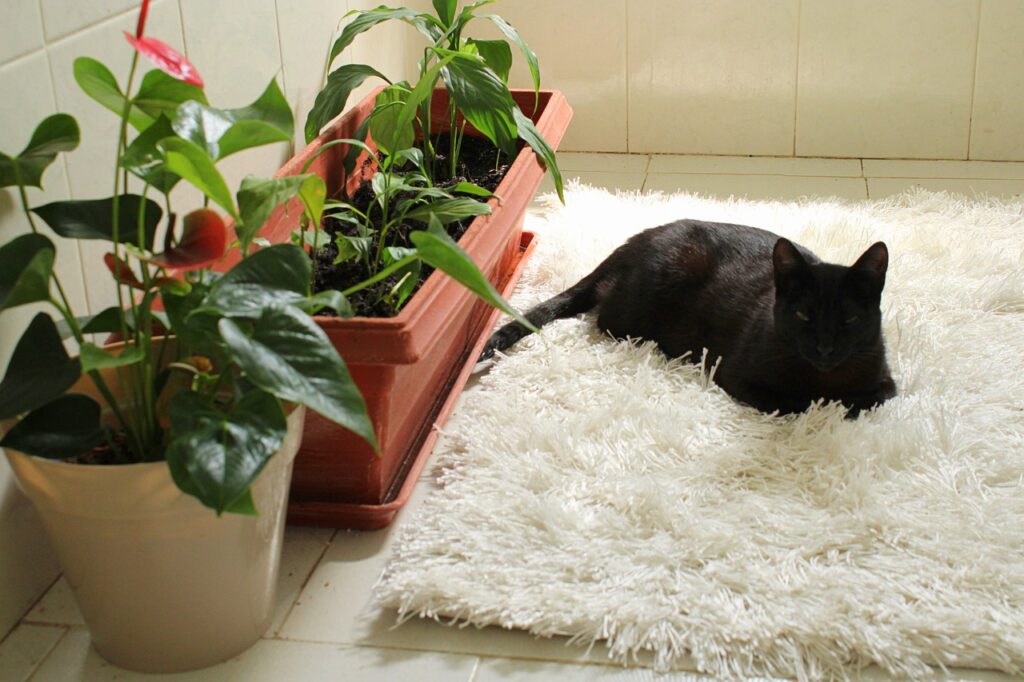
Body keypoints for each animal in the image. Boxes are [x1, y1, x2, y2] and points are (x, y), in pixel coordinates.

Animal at [483, 220, 892, 417]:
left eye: (850, 319)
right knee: (605, 315)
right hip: (648, 299)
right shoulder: (739, 377)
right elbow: (800, 403)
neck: (823, 376)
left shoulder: (887, 383)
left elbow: (865, 399)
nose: (824, 348)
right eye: (804, 314)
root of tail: (636, 240)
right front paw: (823, 402)